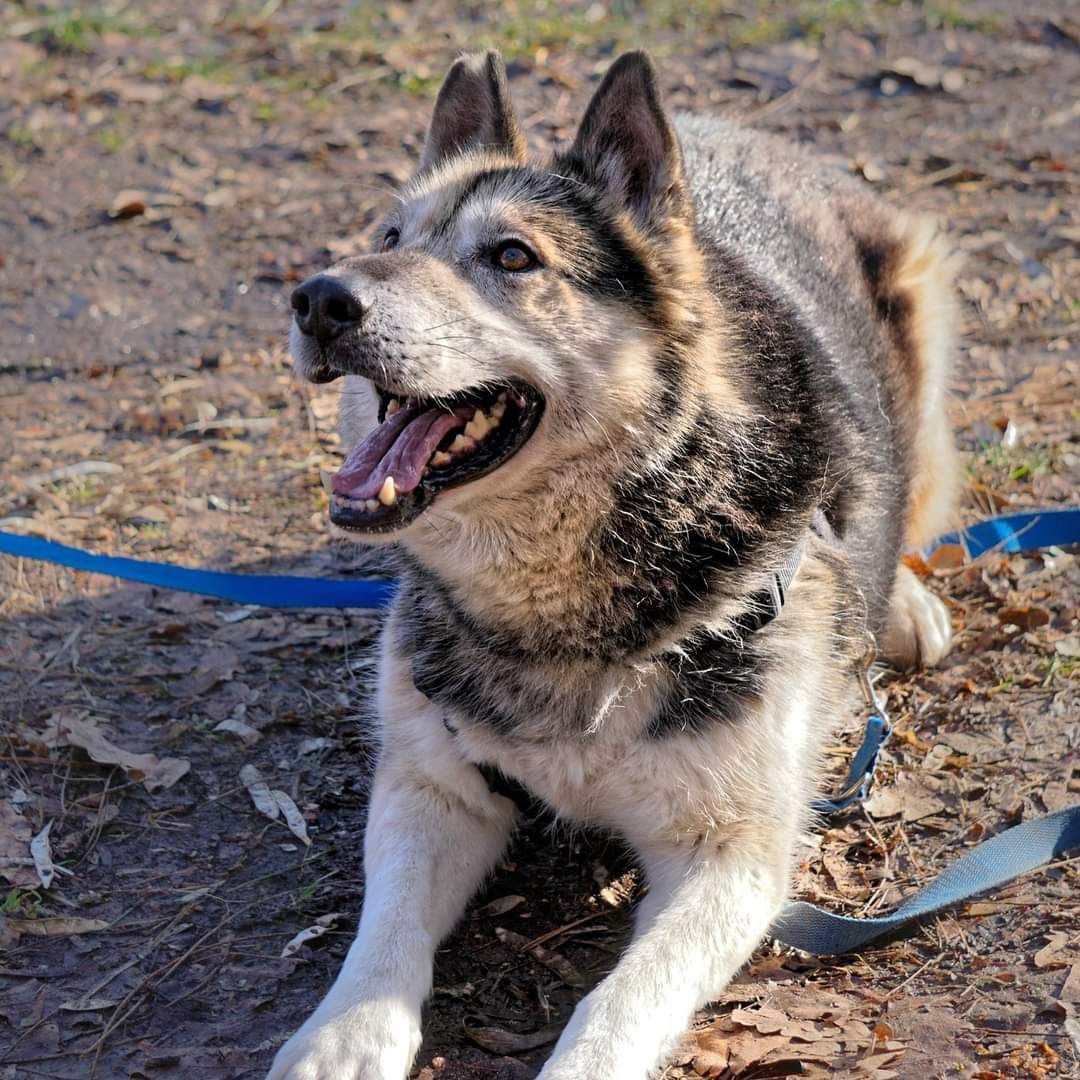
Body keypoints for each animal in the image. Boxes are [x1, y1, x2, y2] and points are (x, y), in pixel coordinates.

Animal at [274, 48, 959, 1080]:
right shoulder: (430, 787)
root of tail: (730, 128)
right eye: (388, 237)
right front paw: (340, 1041)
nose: (319, 298)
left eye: (513, 257)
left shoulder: (731, 854)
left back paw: (905, 604)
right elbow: (381, 940)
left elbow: (619, 1002)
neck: (559, 611)